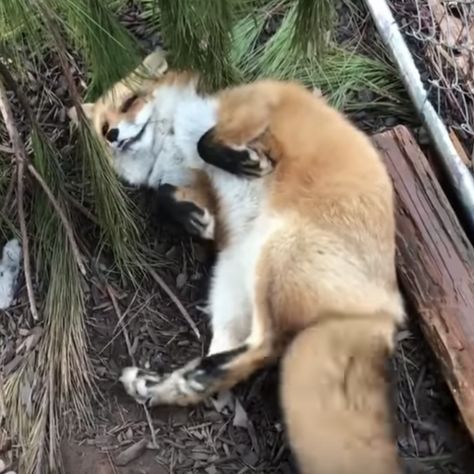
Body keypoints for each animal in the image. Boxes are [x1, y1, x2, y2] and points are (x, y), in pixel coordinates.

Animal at [70, 51, 404, 474]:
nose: (114, 134)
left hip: (276, 256)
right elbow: (165, 196)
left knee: (268, 345)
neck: (170, 140)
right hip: (228, 290)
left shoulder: (256, 102)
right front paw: (192, 218)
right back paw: (166, 383)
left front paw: (244, 161)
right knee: (239, 355)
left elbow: (206, 141)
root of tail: (382, 311)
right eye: (102, 127)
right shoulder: (196, 185)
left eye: (130, 101)